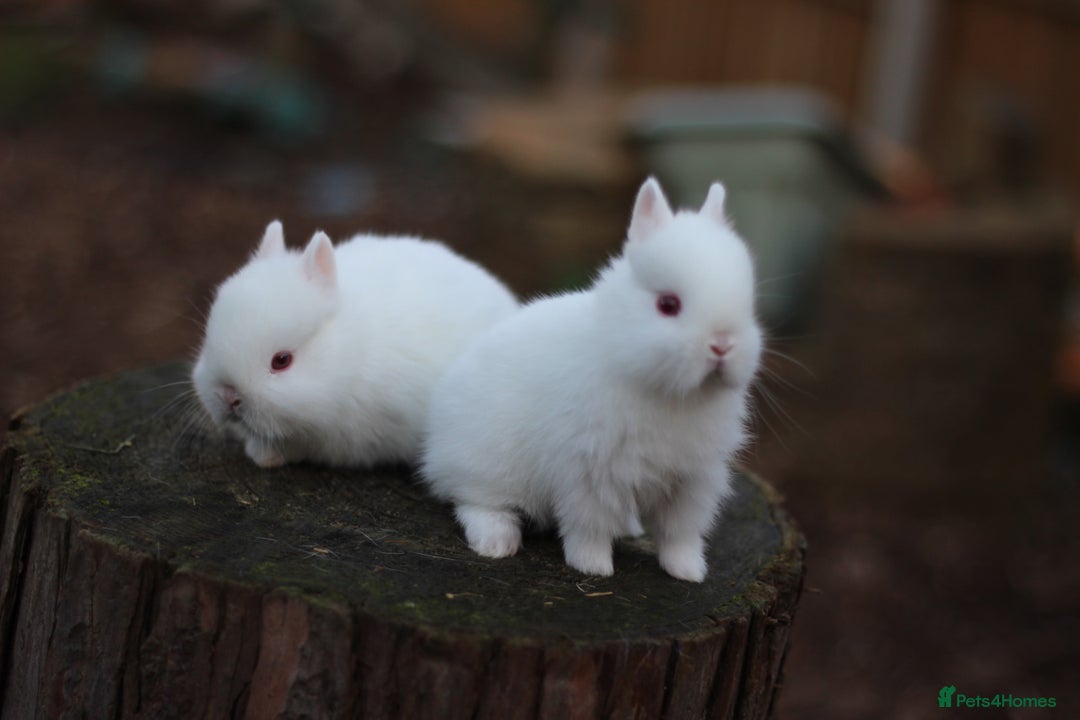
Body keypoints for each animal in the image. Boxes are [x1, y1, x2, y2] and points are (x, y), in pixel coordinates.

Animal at [420, 177, 762, 581]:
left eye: (748, 305)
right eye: (668, 305)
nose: (722, 344)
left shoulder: (692, 481)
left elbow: (679, 533)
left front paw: (688, 572)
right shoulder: (589, 474)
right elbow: (589, 528)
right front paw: (594, 568)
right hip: (488, 466)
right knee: (474, 501)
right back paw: (497, 543)